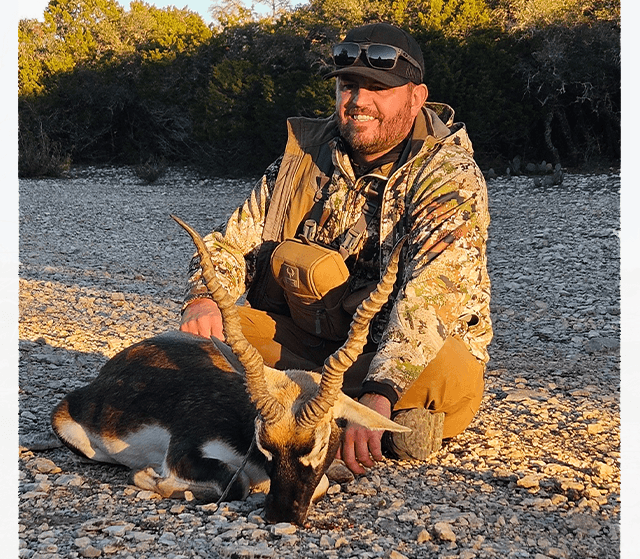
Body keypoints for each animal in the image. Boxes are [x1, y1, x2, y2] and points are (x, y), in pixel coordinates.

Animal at [51, 215, 409, 525]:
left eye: (318, 446)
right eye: (264, 445)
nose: (280, 516)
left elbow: (317, 484)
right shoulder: (184, 453)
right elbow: (236, 484)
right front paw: (153, 478)